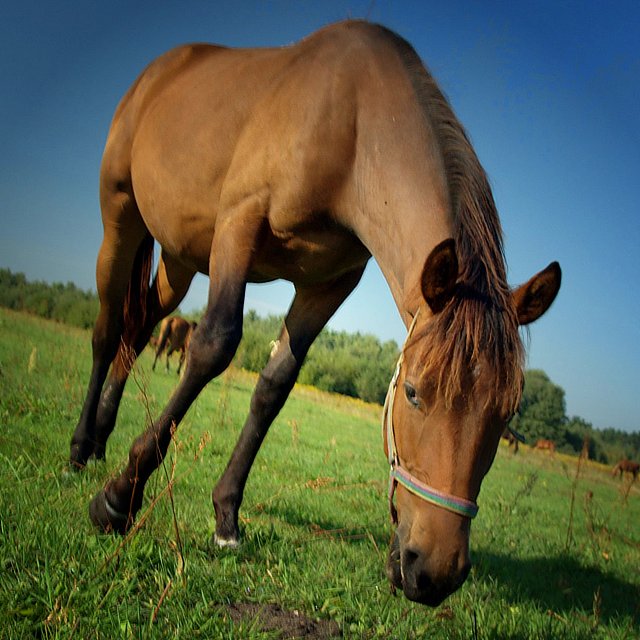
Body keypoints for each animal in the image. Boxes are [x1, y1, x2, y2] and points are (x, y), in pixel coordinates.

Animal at [70, 22, 560, 608]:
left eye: (507, 413)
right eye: (413, 392)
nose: (435, 571)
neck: (350, 127)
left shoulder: (329, 284)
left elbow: (275, 385)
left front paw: (226, 516)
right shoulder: (238, 223)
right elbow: (214, 345)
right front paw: (119, 498)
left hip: (179, 257)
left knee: (139, 326)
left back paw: (102, 437)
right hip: (120, 217)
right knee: (106, 330)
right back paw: (80, 448)